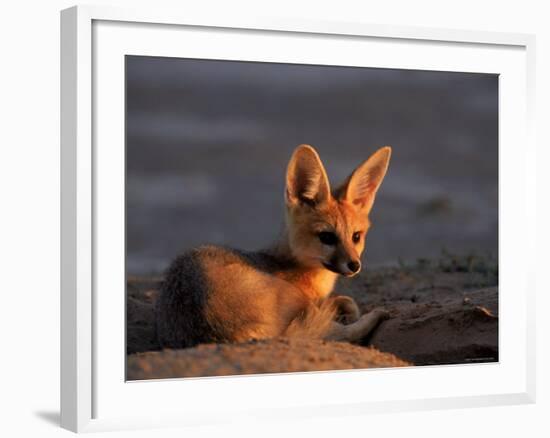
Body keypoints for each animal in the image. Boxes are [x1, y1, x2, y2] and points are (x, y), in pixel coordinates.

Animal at [156, 144, 392, 350]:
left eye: (356, 236)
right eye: (326, 237)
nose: (354, 265)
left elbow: (344, 300)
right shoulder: (308, 304)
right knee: (336, 334)